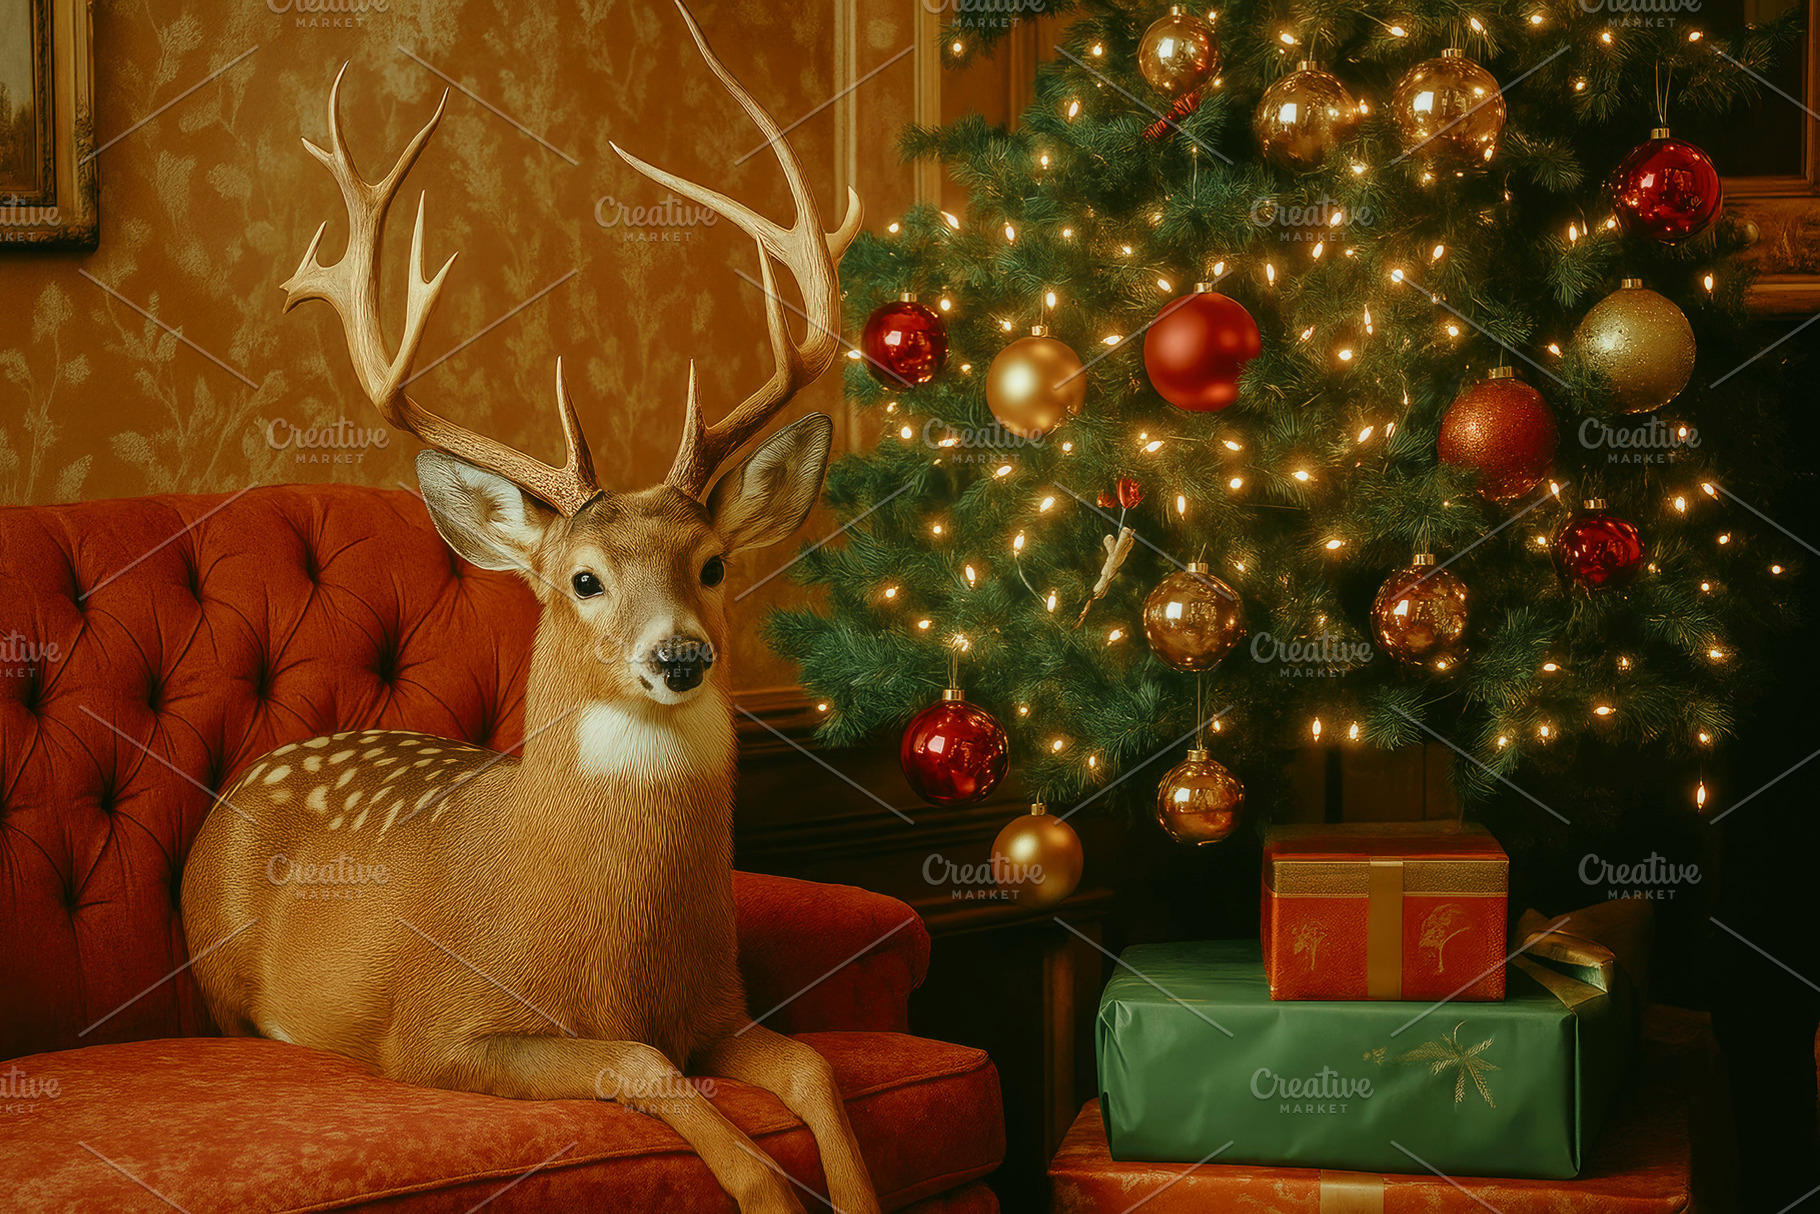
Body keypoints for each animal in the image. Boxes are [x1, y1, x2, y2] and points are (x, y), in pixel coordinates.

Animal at [178, 7, 878, 1213]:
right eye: (583, 577)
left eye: (712, 564)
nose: (680, 656)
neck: (615, 950)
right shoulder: (437, 1030)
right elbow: (635, 1061)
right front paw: (768, 1189)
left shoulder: (721, 1003)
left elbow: (811, 1060)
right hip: (218, 972)